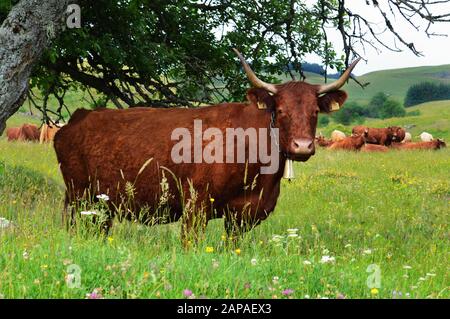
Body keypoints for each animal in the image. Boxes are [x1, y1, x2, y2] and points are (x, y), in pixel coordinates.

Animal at [53, 49, 362, 242]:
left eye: (315, 111)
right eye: (282, 110)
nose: (302, 146)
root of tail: (81, 116)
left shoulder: (243, 216)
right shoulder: (195, 207)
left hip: (101, 205)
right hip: (78, 196)